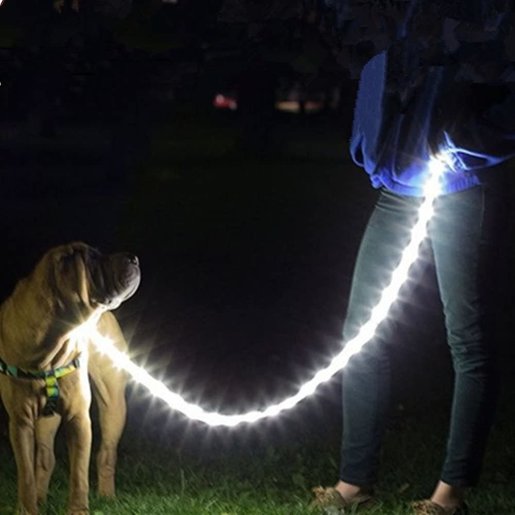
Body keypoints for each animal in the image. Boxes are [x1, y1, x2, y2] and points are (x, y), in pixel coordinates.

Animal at [0, 243, 141, 515]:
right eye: (93, 258)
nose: (134, 258)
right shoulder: (20, 422)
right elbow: (26, 474)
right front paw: (27, 508)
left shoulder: (79, 418)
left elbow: (79, 475)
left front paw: (78, 510)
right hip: (46, 418)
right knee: (45, 458)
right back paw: (41, 499)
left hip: (113, 402)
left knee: (106, 453)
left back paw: (107, 496)